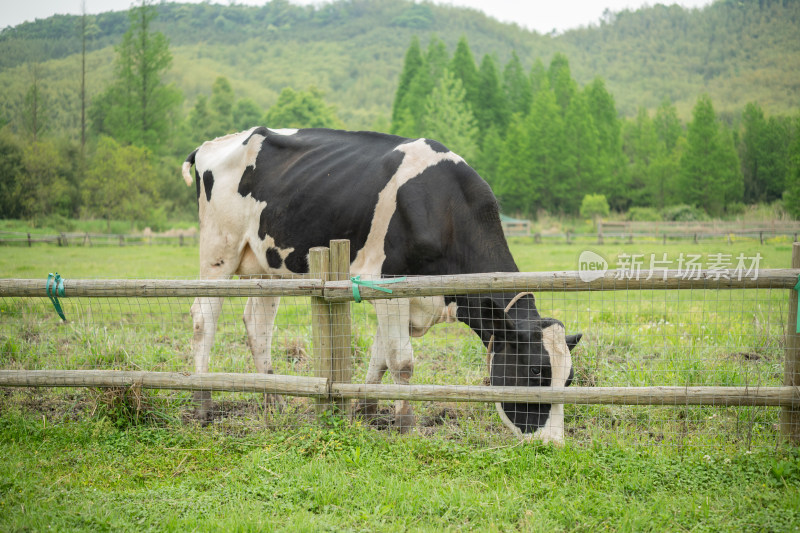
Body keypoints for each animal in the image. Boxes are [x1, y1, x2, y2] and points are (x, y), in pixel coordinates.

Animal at [181, 127, 580, 442]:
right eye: (536, 371)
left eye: (569, 379)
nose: (553, 444)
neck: (444, 207)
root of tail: (213, 143)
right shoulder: (390, 285)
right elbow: (401, 361)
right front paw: (405, 426)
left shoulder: (396, 296)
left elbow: (380, 358)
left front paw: (365, 411)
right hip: (218, 252)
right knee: (203, 319)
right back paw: (203, 406)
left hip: (266, 265)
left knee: (258, 324)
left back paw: (274, 402)